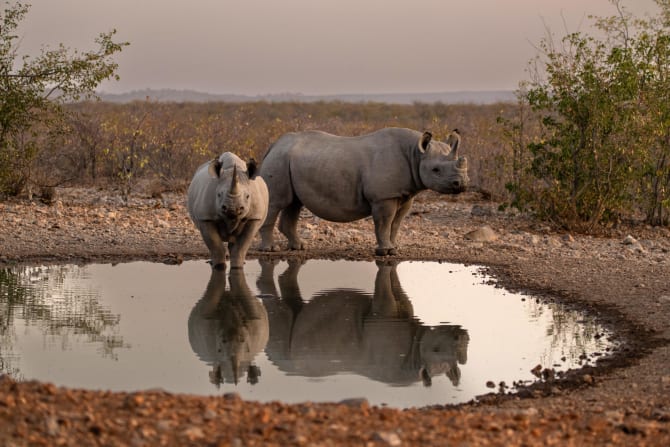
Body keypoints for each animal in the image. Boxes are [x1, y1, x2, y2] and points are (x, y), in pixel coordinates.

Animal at [258, 260, 472, 386]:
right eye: (435, 349)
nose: (461, 336)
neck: (415, 357)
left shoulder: (402, 313)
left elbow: (398, 291)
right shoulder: (383, 315)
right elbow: (386, 291)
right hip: (281, 351)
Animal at [260, 128, 470, 258]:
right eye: (436, 170)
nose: (462, 184)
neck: (415, 154)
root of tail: (274, 145)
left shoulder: (405, 194)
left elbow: (396, 224)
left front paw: (394, 249)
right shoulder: (383, 197)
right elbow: (384, 223)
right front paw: (385, 251)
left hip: (289, 160)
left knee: (294, 203)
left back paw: (299, 247)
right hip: (280, 159)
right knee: (276, 202)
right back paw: (270, 250)